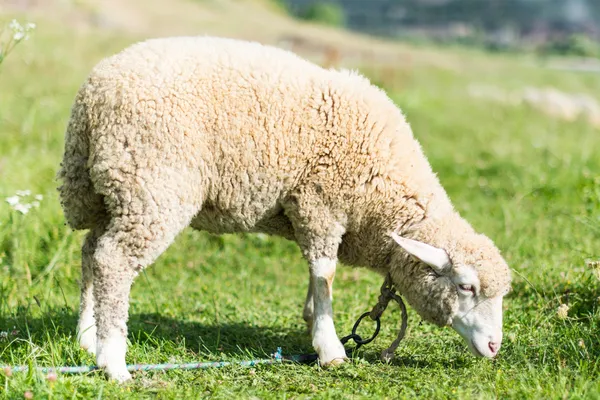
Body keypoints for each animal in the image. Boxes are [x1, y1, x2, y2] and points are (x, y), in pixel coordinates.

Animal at [57, 36, 510, 382]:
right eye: (466, 286)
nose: (494, 347)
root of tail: (93, 96)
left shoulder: (311, 214)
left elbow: (316, 275)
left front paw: (312, 322)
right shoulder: (320, 203)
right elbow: (326, 273)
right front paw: (329, 347)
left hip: (114, 191)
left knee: (91, 253)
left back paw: (87, 336)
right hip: (154, 187)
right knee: (113, 261)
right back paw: (113, 361)